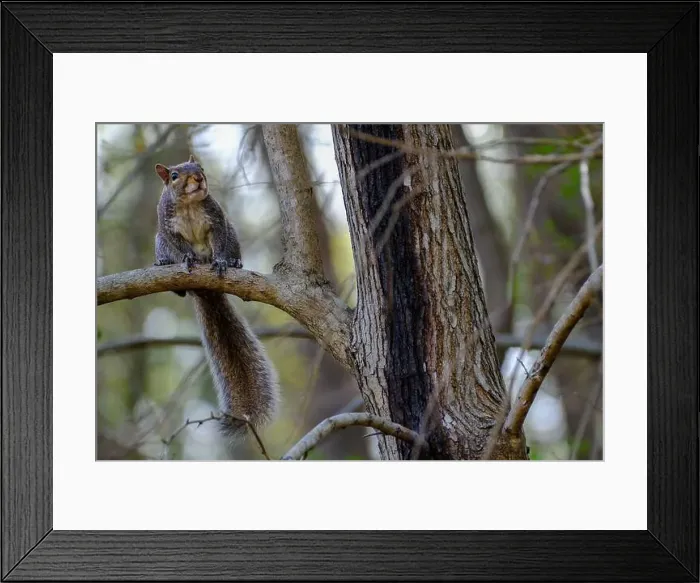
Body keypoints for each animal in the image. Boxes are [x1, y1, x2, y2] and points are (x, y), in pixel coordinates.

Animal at [153, 154, 280, 439]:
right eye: (174, 176)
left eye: (200, 168)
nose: (198, 178)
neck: (189, 205)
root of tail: (205, 291)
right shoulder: (167, 229)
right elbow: (180, 247)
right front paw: (187, 257)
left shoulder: (218, 221)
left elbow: (219, 243)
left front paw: (222, 261)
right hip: (159, 243)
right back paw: (165, 266)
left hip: (232, 233)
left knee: (230, 247)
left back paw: (234, 263)